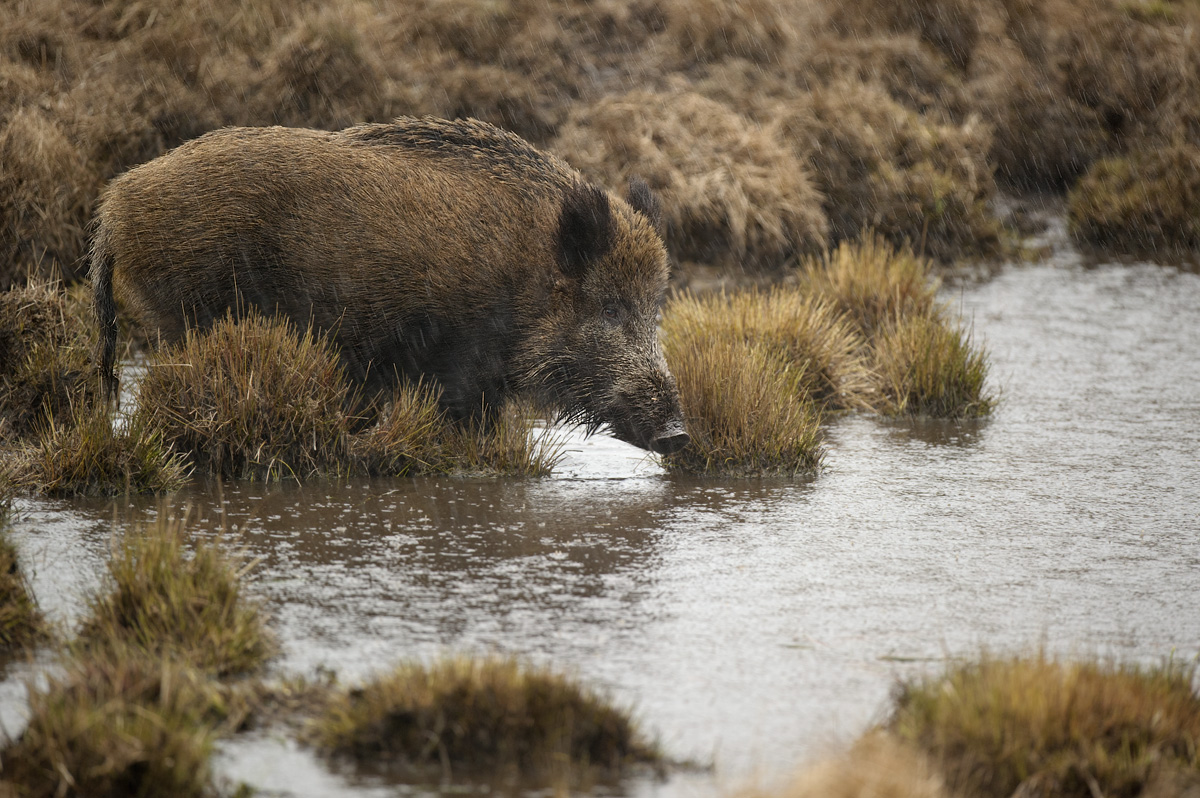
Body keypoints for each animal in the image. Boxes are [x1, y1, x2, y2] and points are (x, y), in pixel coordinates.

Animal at [90, 117, 690, 455]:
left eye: (654, 308)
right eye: (610, 309)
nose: (679, 435)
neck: (526, 274)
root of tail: (115, 206)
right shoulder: (457, 364)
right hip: (188, 310)